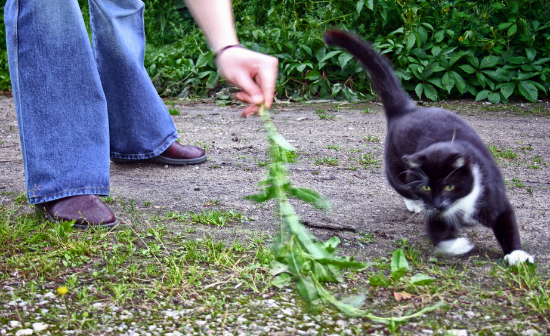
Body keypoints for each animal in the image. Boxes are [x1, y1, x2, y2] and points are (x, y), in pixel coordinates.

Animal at [328, 29, 536, 266]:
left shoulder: (492, 194)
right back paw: (415, 204)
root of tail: (406, 110)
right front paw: (458, 244)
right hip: (396, 169)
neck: (460, 204)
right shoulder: (434, 210)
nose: (436, 203)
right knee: (402, 186)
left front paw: (517, 254)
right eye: (427, 187)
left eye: (449, 186)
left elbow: (507, 223)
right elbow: (437, 232)